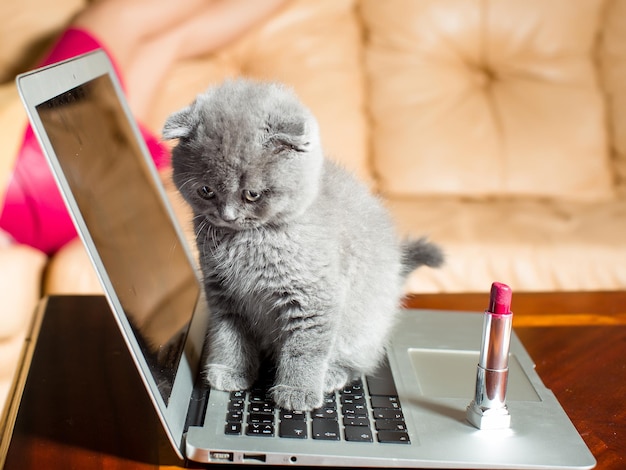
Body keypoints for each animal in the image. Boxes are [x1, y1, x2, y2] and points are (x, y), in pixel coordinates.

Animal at [163, 79, 442, 410]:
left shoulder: (313, 296)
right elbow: (229, 335)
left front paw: (297, 392)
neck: (247, 240)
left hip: (362, 325)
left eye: (252, 194)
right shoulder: (223, 294)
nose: (227, 215)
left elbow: (305, 347)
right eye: (206, 191)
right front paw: (231, 371)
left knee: (359, 360)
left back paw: (332, 375)